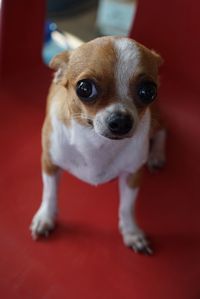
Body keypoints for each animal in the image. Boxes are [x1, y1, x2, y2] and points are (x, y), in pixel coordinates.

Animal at [30, 35, 166, 255]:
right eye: (84, 88)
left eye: (149, 91)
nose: (121, 121)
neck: (96, 142)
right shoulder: (50, 163)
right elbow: (49, 193)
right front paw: (46, 217)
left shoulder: (133, 174)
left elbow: (127, 207)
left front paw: (131, 232)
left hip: (154, 120)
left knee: (164, 130)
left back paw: (157, 155)